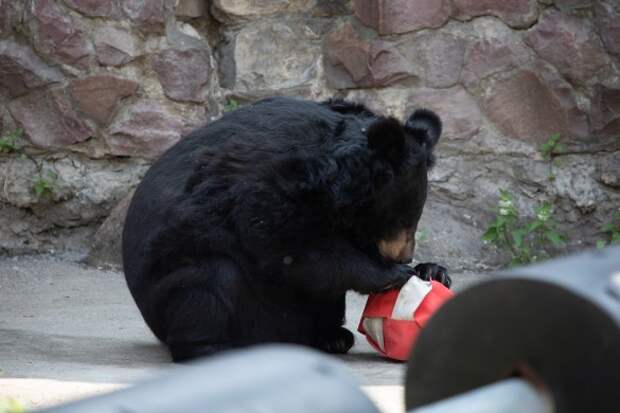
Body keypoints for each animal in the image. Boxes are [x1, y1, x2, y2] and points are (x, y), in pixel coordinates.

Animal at [121, 96, 450, 360]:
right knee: (207, 281)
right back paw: (209, 348)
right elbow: (282, 240)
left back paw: (331, 337)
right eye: (400, 218)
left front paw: (432, 270)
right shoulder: (270, 182)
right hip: (172, 280)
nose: (403, 256)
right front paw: (393, 274)